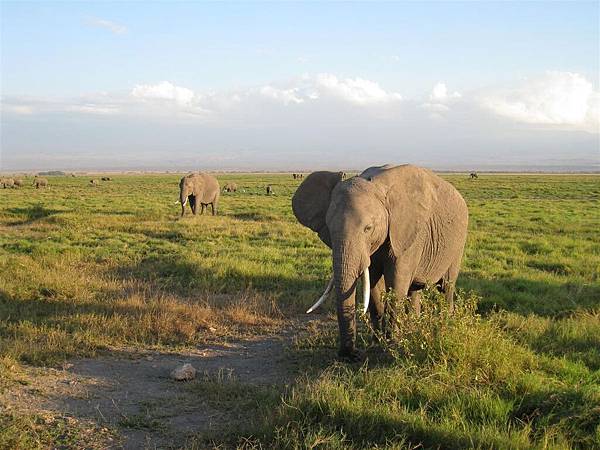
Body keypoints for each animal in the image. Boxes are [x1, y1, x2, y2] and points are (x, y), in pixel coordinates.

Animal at [290, 163, 468, 360]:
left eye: (368, 228)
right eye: (328, 228)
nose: (352, 355)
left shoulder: (408, 233)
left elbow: (396, 282)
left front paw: (392, 346)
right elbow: (373, 284)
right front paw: (376, 344)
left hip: (457, 243)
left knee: (446, 287)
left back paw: (446, 325)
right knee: (415, 290)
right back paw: (413, 329)